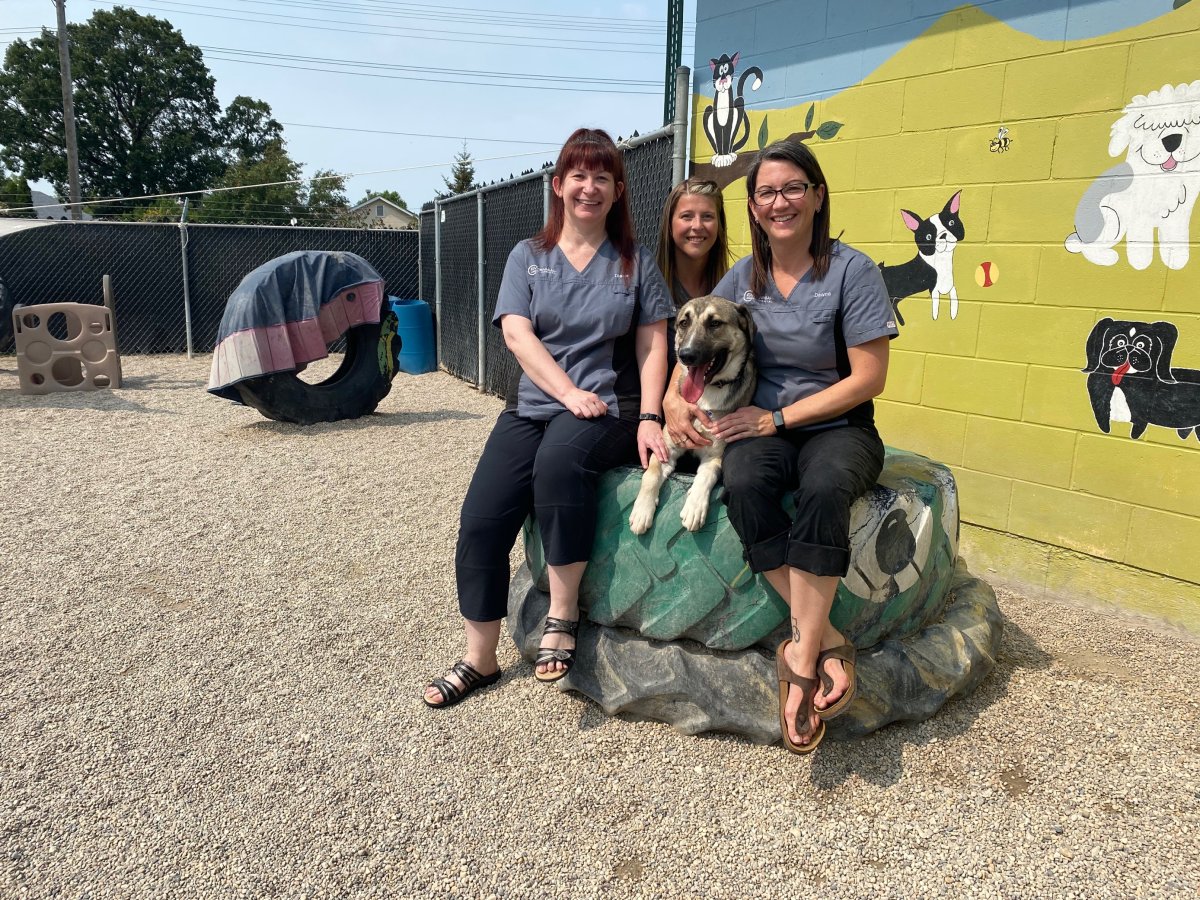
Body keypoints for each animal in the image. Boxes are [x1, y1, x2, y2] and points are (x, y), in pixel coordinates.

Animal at [633, 296, 753, 535]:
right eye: (683, 323)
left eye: (715, 323)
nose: (686, 355)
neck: (708, 393)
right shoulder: (666, 449)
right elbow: (650, 475)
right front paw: (642, 510)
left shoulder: (715, 456)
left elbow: (705, 476)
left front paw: (695, 506)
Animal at [883, 192, 964, 326]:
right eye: (928, 236)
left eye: (951, 223)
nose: (943, 235)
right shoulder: (934, 290)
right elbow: (936, 308)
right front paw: (936, 318)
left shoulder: (950, 287)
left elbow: (954, 299)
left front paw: (953, 314)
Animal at [1070, 81, 1200, 270]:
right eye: (1150, 128)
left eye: (1188, 122)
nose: (1172, 140)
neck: (1161, 179)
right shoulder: (1138, 215)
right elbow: (1140, 240)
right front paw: (1140, 262)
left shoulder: (1179, 216)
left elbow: (1175, 238)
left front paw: (1176, 258)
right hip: (1110, 218)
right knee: (1088, 246)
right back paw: (1106, 257)